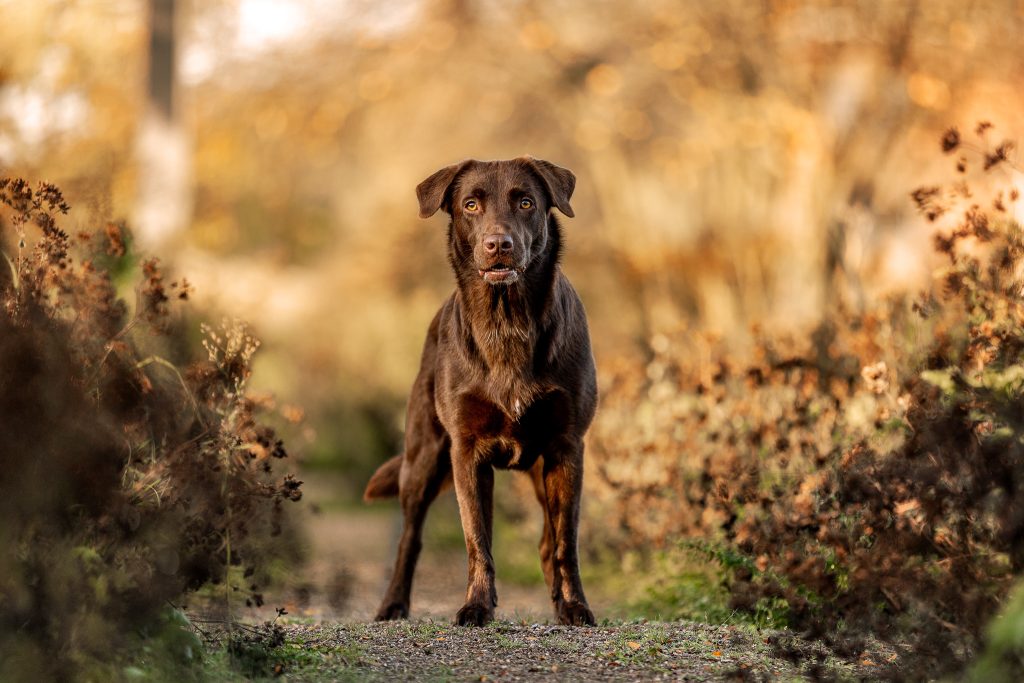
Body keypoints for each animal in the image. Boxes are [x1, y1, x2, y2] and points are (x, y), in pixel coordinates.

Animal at [362, 157, 598, 626]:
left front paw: (575, 606)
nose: (498, 244)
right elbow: (477, 540)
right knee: (409, 539)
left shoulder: (566, 448)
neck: (506, 323)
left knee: (548, 543)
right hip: (423, 459)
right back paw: (392, 605)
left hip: (540, 471)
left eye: (525, 202)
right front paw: (476, 606)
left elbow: (566, 542)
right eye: (471, 205)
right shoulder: (466, 451)